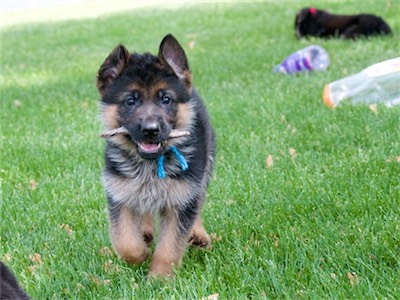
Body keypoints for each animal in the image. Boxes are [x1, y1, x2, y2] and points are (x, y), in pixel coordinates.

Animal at [96, 33, 216, 276]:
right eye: (130, 101)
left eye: (166, 99)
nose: (150, 130)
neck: (149, 166)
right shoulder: (120, 194)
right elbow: (125, 241)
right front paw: (140, 254)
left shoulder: (182, 196)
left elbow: (169, 247)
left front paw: (160, 278)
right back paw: (145, 231)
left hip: (203, 171)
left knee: (198, 202)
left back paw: (198, 233)